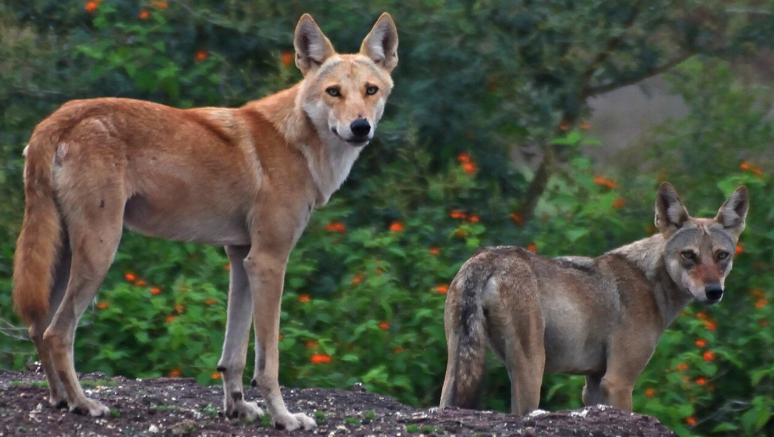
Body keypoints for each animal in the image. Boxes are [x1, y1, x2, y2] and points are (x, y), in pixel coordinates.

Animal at [12, 13, 398, 431]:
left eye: (370, 90)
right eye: (333, 92)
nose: (360, 127)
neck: (298, 143)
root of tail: (59, 117)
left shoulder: (242, 259)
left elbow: (234, 356)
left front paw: (237, 409)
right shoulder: (269, 262)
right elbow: (268, 363)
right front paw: (284, 418)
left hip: (66, 255)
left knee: (38, 327)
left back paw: (59, 400)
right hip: (100, 253)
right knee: (58, 333)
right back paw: (84, 404)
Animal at [439, 182, 748, 415]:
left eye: (722, 255)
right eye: (689, 255)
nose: (714, 291)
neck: (650, 283)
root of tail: (486, 258)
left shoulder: (594, 384)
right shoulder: (618, 381)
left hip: (458, 366)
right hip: (531, 370)